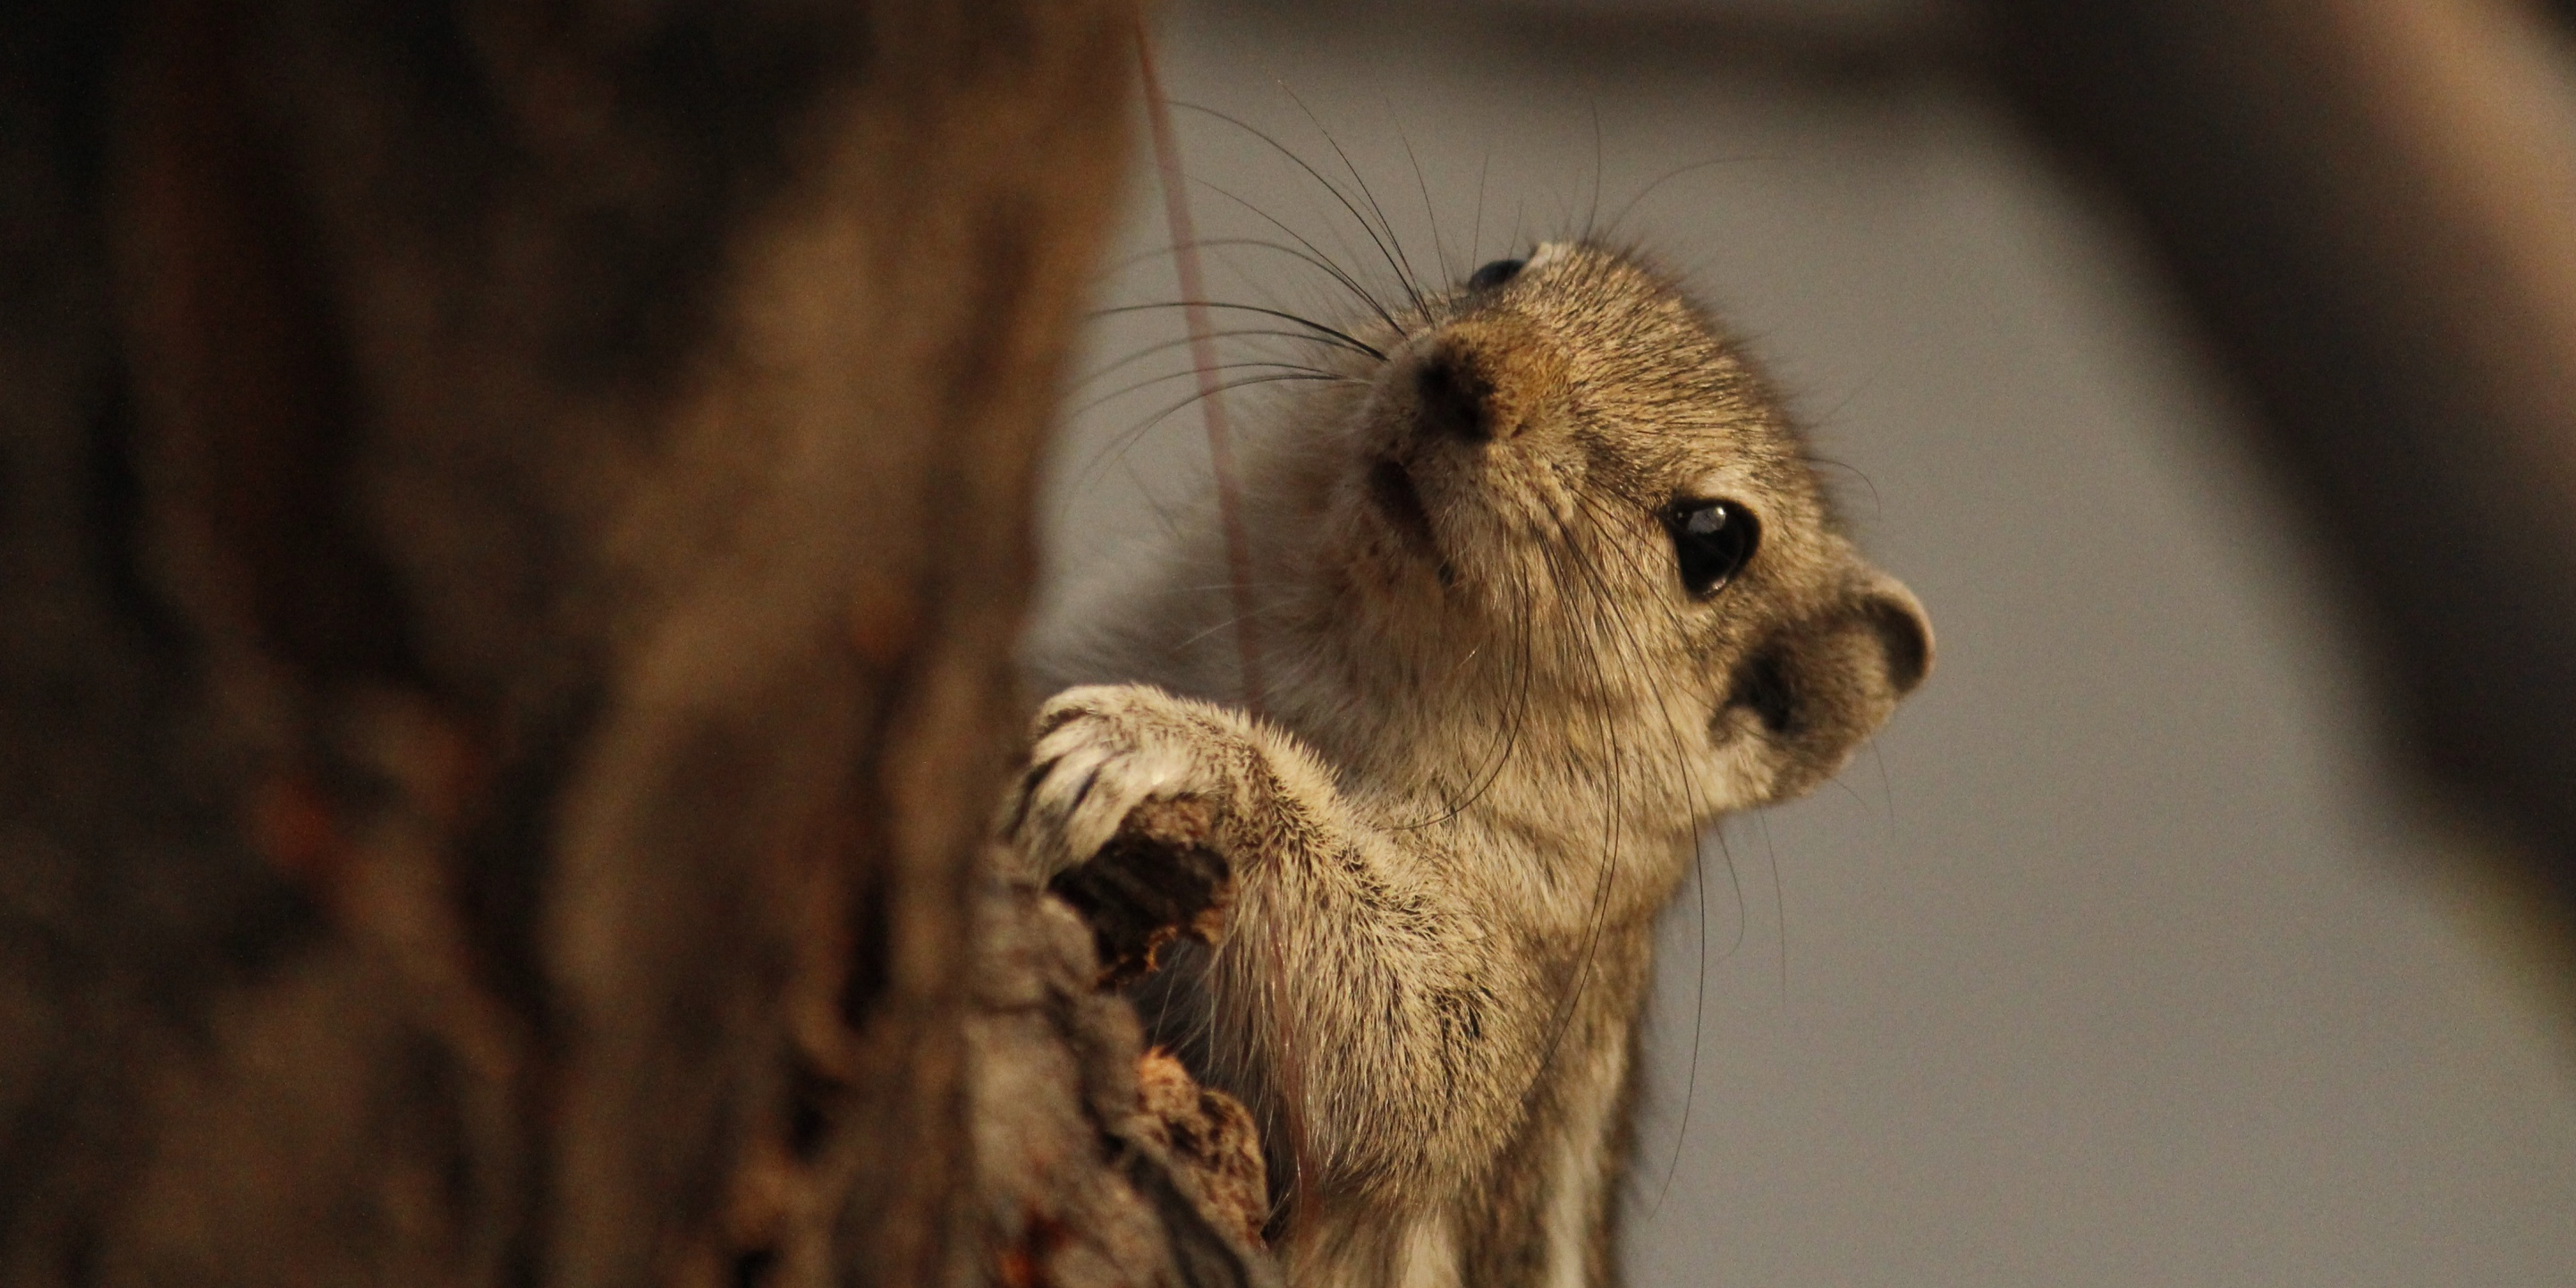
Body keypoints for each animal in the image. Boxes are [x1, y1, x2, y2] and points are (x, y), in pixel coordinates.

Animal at [1004, 243, 1936, 1288]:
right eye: (1499, 268)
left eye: (1715, 539)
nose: (1472, 375)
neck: (1327, 652)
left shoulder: (1520, 963)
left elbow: (1399, 1061)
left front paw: (1169, 747)